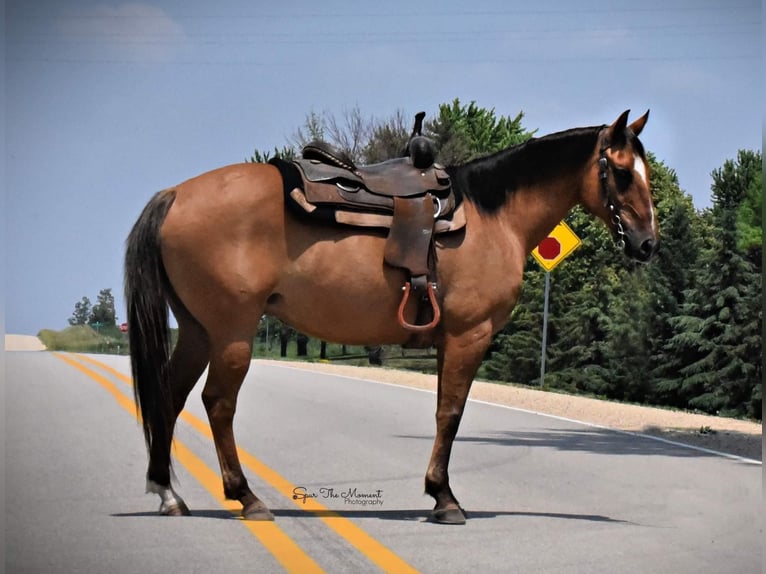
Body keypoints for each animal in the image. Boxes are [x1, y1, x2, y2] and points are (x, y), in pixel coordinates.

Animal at [126, 108, 660, 528]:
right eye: (622, 172)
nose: (648, 244)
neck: (491, 217)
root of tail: (175, 194)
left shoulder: (450, 340)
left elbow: (445, 410)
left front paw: (439, 493)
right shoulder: (469, 335)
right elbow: (451, 413)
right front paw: (445, 499)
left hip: (197, 331)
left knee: (170, 396)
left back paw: (168, 494)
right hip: (231, 332)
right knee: (218, 403)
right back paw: (247, 496)